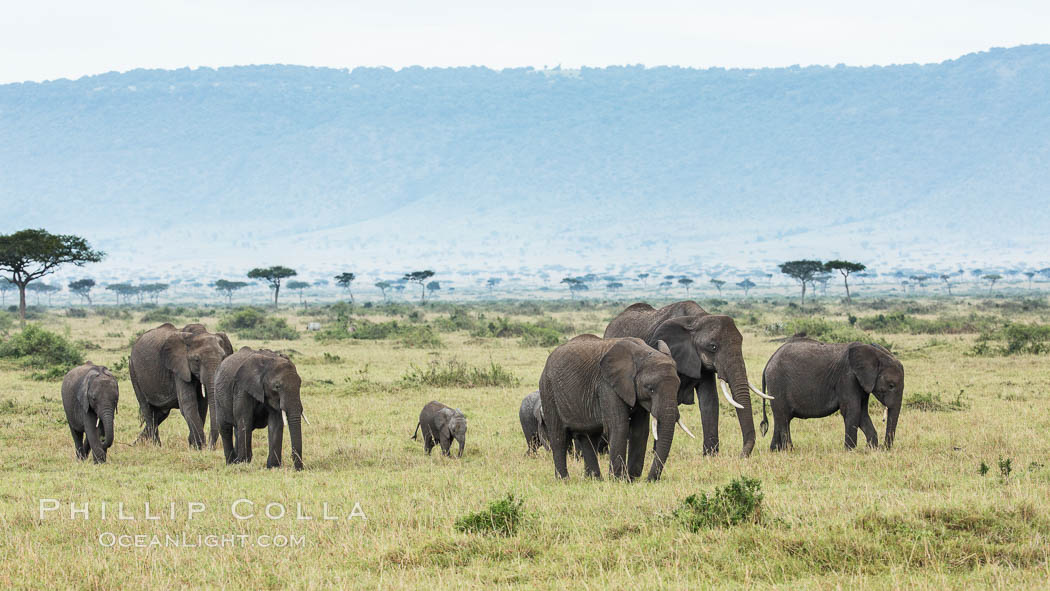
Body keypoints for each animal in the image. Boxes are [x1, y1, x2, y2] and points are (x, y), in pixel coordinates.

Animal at [537, 333, 684, 480]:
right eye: (650, 388)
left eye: (678, 387)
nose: (650, 480)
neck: (641, 352)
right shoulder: (607, 385)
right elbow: (619, 427)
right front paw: (618, 479)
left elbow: (640, 431)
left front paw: (632, 479)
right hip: (548, 390)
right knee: (559, 437)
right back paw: (564, 480)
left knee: (588, 437)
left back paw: (594, 479)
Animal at [604, 300, 768, 457]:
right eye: (713, 347)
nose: (741, 455)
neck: (697, 319)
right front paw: (657, 454)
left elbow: (709, 400)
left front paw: (710, 456)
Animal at [760, 338, 907, 453]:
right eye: (891, 385)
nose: (884, 447)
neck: (875, 354)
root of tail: (769, 361)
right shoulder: (847, 378)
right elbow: (852, 410)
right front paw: (850, 451)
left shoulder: (863, 383)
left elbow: (862, 413)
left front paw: (871, 449)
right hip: (777, 384)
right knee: (783, 418)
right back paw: (789, 450)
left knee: (781, 418)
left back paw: (775, 450)